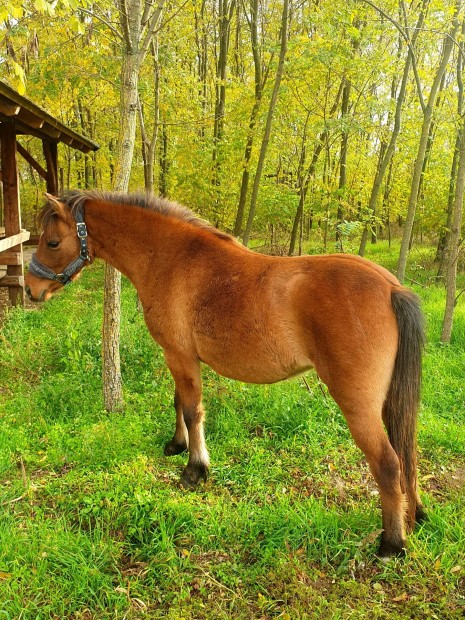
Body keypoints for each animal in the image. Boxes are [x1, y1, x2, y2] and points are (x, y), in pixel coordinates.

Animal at [24, 190, 424, 556]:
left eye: (52, 241)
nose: (31, 289)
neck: (171, 258)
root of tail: (392, 288)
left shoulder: (180, 356)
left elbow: (191, 410)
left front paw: (195, 469)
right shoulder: (180, 357)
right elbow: (178, 403)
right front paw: (177, 445)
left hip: (358, 405)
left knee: (388, 464)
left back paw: (392, 543)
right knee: (407, 454)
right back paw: (414, 515)